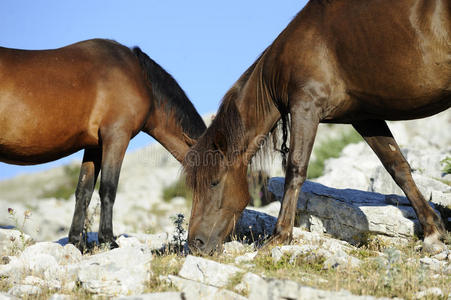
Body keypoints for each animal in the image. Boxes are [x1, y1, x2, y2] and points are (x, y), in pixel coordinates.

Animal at [0, 38, 207, 248]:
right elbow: (108, 188)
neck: (139, 78)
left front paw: (76, 242)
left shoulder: (94, 146)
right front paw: (108, 240)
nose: (202, 242)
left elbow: (83, 192)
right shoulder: (116, 136)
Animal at [185, 0, 451, 254]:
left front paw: (279, 235)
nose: (196, 243)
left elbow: (295, 170)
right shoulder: (365, 118)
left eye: (214, 182)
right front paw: (432, 231)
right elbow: (398, 167)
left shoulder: (306, 109)